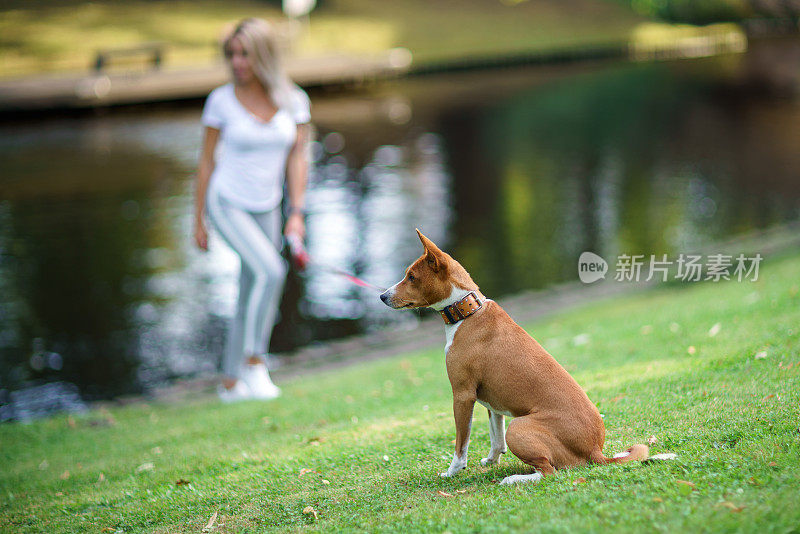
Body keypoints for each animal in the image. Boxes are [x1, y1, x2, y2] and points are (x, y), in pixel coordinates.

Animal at [382, 230, 664, 486]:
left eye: (411, 277)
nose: (382, 296)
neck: (468, 311)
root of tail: (596, 451)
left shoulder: (462, 395)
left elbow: (461, 445)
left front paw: (452, 472)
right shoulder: (491, 400)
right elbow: (496, 437)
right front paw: (492, 460)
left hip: (519, 427)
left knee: (549, 472)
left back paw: (513, 479)